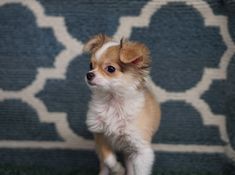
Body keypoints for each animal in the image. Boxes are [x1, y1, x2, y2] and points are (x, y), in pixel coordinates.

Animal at [83, 34, 161, 175]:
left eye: (111, 69)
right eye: (90, 65)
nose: (89, 74)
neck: (113, 102)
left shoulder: (141, 150)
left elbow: (140, 171)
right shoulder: (100, 135)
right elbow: (108, 158)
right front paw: (119, 169)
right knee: (104, 165)